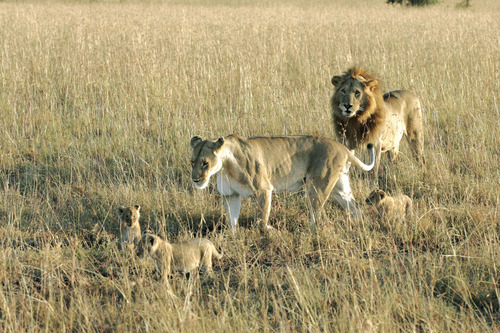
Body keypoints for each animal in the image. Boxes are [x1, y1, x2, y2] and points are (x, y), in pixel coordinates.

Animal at [189, 134, 374, 232]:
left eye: (205, 163)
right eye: (192, 162)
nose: (195, 179)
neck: (225, 167)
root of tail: (342, 147)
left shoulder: (263, 189)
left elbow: (260, 219)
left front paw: (270, 231)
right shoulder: (231, 195)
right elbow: (232, 220)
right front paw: (233, 237)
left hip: (316, 187)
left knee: (318, 217)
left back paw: (310, 233)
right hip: (339, 189)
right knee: (356, 209)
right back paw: (356, 225)